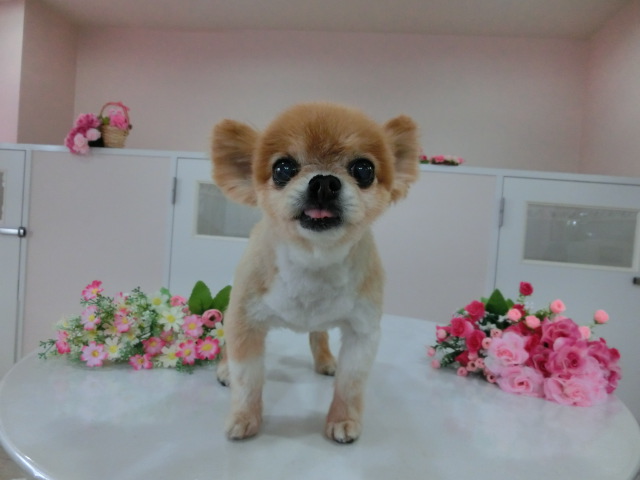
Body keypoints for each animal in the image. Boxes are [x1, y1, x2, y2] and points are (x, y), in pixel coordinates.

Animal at [211, 102, 419, 443]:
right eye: (282, 168)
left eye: (364, 169)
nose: (324, 182)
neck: (313, 262)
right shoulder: (245, 322)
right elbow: (247, 380)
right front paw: (244, 417)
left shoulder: (362, 332)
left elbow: (350, 384)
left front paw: (343, 419)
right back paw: (225, 369)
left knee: (317, 334)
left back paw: (325, 360)